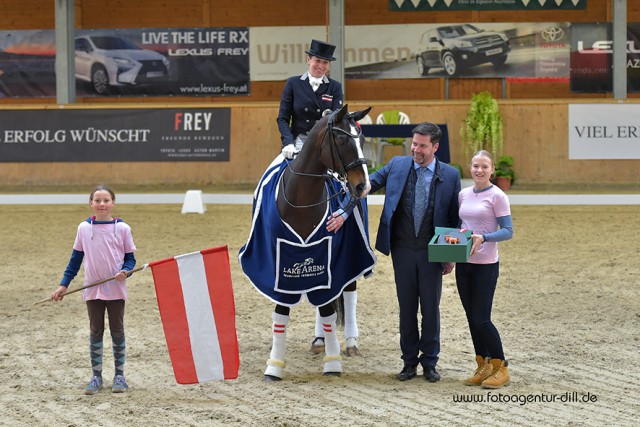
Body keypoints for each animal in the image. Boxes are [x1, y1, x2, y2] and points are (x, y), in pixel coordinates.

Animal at [239, 103, 378, 382]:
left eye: (362, 139)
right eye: (342, 139)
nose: (363, 186)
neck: (300, 199)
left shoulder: (330, 256)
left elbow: (328, 310)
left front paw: (333, 363)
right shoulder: (278, 261)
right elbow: (282, 313)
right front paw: (274, 367)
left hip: (353, 252)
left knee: (348, 292)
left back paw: (350, 342)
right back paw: (318, 340)